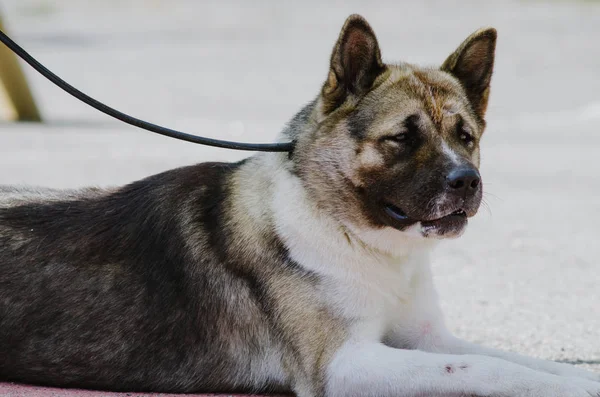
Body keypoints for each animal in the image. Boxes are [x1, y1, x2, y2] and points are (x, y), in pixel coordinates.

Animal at [1, 13, 600, 396]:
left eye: (466, 136)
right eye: (401, 138)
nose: (467, 181)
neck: (359, 240)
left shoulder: (428, 341)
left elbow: (512, 359)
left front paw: (580, 378)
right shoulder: (344, 365)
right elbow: (486, 371)